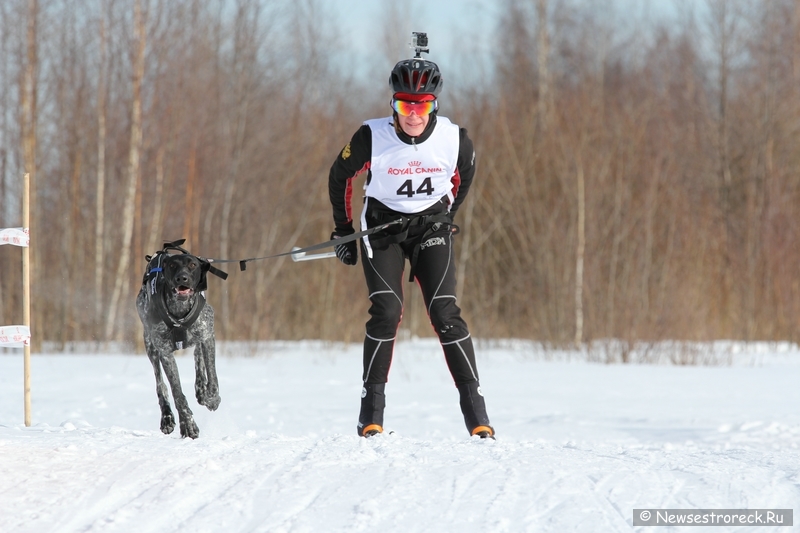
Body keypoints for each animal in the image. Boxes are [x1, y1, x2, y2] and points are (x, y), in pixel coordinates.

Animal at [136, 240, 227, 436]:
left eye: (192, 265)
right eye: (172, 266)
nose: (182, 278)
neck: (180, 311)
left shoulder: (207, 335)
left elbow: (212, 375)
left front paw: (212, 398)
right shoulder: (165, 352)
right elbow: (176, 392)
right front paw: (188, 424)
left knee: (198, 358)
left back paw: (201, 391)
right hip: (151, 347)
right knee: (161, 386)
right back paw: (167, 417)